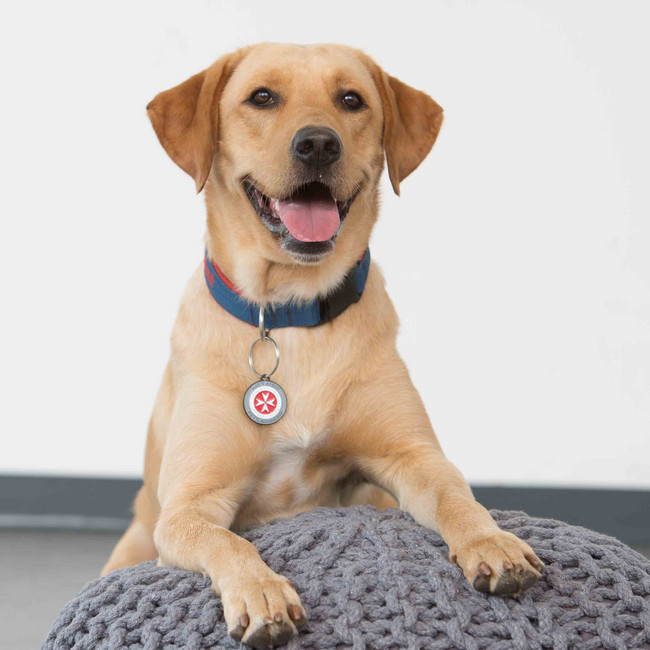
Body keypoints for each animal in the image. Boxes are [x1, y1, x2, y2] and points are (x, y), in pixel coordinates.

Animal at [102, 43, 544, 648]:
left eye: (351, 100)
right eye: (262, 97)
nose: (317, 143)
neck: (290, 313)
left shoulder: (411, 456)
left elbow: (456, 493)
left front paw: (491, 541)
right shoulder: (190, 505)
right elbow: (228, 540)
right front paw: (260, 591)